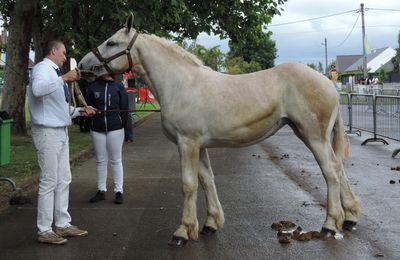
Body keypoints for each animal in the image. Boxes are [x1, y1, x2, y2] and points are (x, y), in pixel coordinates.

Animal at [78, 14, 360, 246]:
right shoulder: (199, 146)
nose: (82, 66)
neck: (180, 84)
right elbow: (206, 180)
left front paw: (183, 232)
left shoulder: (187, 143)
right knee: (339, 169)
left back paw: (329, 225)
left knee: (331, 172)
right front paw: (210, 224)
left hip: (313, 136)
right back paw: (349, 219)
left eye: (112, 43)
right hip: (311, 135)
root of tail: (328, 83)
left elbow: (189, 184)